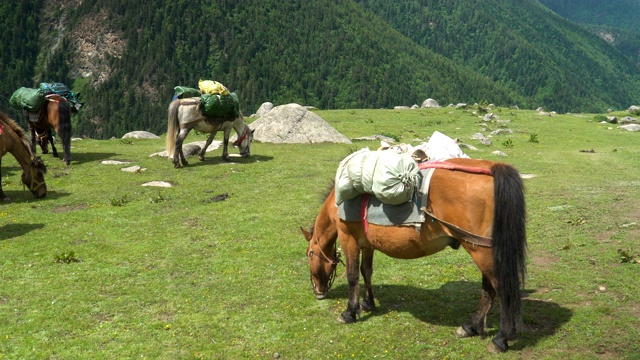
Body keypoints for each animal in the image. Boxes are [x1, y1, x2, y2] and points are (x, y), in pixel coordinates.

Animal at [302, 158, 528, 354]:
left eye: (309, 255)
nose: (318, 292)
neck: (336, 203)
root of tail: (492, 168)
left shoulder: (348, 238)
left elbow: (352, 276)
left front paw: (349, 312)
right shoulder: (367, 243)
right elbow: (366, 271)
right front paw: (368, 303)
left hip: (480, 250)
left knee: (501, 288)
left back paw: (500, 338)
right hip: (482, 250)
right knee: (489, 289)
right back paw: (470, 326)